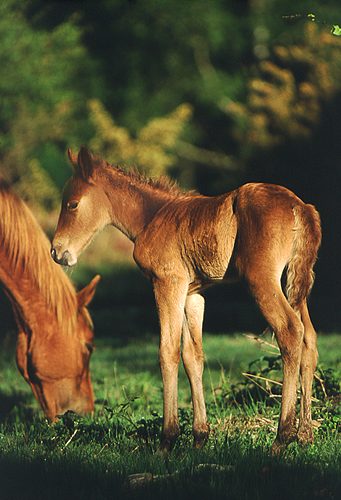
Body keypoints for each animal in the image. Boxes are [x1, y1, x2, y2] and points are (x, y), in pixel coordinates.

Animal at [51, 146, 320, 452]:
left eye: (72, 204)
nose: (57, 251)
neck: (152, 216)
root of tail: (301, 207)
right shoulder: (193, 294)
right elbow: (193, 356)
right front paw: (200, 436)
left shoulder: (167, 283)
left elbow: (167, 352)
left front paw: (167, 440)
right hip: (294, 280)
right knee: (309, 338)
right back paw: (305, 434)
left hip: (262, 280)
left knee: (290, 331)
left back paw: (282, 437)